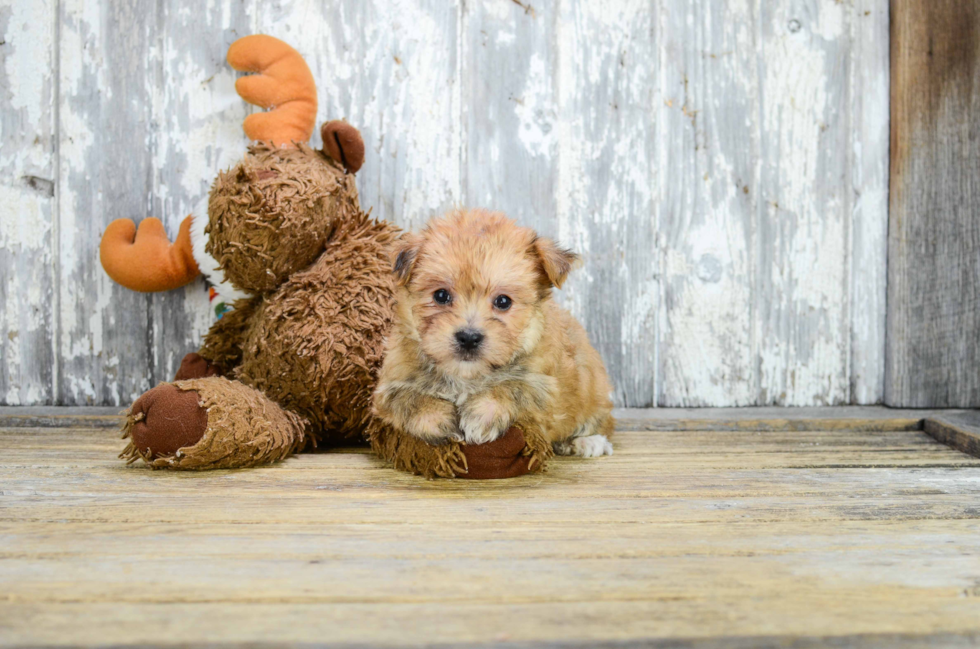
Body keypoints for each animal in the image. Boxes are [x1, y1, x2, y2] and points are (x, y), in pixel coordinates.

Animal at [374, 209, 612, 460]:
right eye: (441, 295)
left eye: (503, 301)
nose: (469, 337)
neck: (467, 376)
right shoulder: (389, 386)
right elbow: (409, 400)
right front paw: (440, 422)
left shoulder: (544, 386)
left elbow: (512, 387)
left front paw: (481, 415)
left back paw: (588, 442)